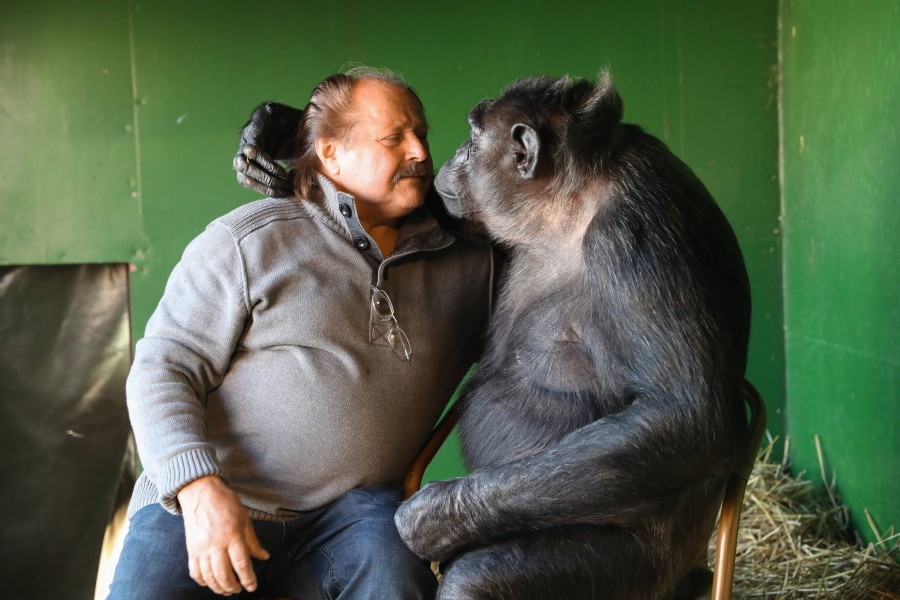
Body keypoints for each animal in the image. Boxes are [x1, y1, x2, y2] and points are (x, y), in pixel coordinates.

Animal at [234, 71, 752, 600]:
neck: (568, 201)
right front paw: (271, 129)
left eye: (473, 135)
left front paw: (428, 519)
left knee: (477, 579)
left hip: (632, 575)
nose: (450, 155)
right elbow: (437, 211)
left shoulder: (635, 234)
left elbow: (684, 413)